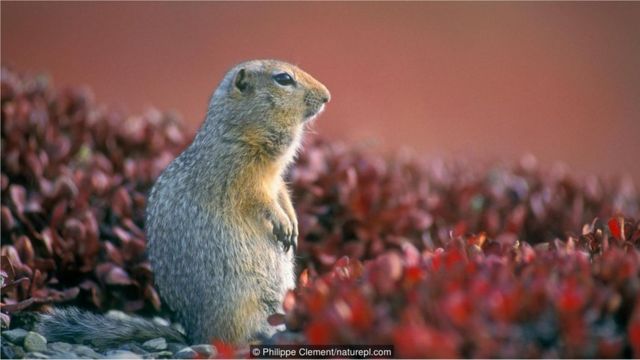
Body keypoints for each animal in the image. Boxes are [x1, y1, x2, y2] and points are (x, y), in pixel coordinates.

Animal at [36, 59, 330, 346]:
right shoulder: (241, 178)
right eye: (283, 79)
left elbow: (283, 194)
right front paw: (283, 222)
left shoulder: (276, 180)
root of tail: (192, 333)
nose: (327, 96)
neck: (241, 131)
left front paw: (293, 223)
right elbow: (259, 201)